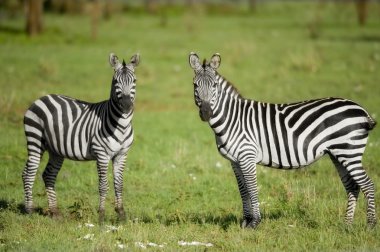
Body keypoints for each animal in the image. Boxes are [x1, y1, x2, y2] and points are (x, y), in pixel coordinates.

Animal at [21, 52, 140, 222]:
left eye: (134, 81)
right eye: (115, 81)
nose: (126, 106)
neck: (121, 125)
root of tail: (42, 97)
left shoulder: (122, 154)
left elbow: (119, 184)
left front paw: (121, 214)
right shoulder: (102, 154)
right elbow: (103, 185)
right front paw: (102, 215)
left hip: (56, 149)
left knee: (48, 175)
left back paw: (55, 212)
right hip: (35, 139)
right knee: (28, 173)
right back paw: (29, 210)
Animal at [189, 52, 376, 229]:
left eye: (214, 85)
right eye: (195, 85)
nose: (206, 113)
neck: (233, 119)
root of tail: (362, 110)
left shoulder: (247, 156)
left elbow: (252, 189)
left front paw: (254, 223)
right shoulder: (234, 161)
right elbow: (243, 190)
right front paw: (245, 222)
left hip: (349, 152)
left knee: (368, 185)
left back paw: (370, 226)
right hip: (338, 154)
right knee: (352, 187)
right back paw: (347, 225)